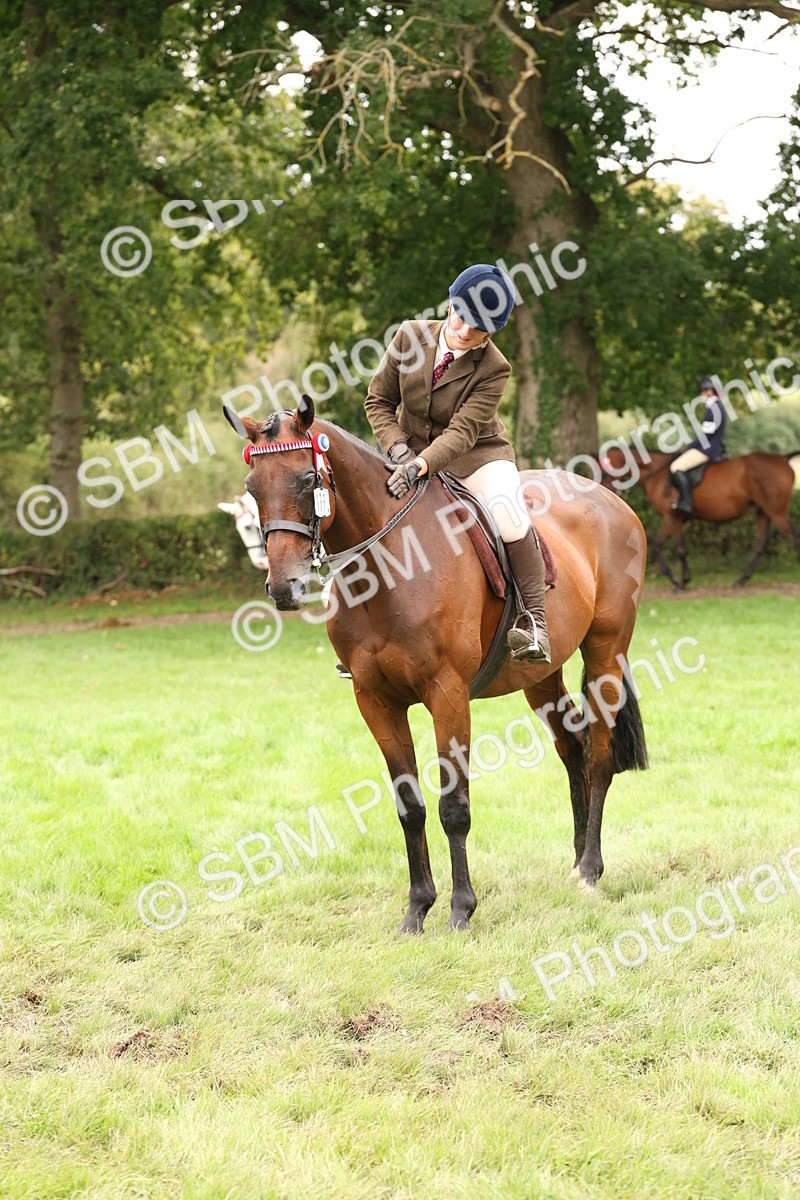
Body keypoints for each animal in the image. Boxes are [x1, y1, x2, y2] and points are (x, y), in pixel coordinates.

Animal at [225, 398, 648, 933]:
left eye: (306, 479)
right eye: (251, 486)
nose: (285, 588)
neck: (389, 569)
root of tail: (611, 500)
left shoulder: (447, 695)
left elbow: (454, 807)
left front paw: (461, 909)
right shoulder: (375, 702)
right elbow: (410, 807)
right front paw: (417, 909)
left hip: (605, 653)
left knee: (597, 756)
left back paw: (591, 869)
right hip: (540, 676)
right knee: (572, 749)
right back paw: (574, 865)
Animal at [598, 448, 800, 589]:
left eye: (605, 471)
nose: (604, 492)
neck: (656, 473)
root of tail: (783, 458)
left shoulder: (672, 517)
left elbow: (679, 549)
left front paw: (680, 582)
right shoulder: (673, 518)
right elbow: (658, 545)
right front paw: (678, 579)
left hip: (777, 511)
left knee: (794, 538)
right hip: (764, 512)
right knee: (760, 546)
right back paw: (741, 580)